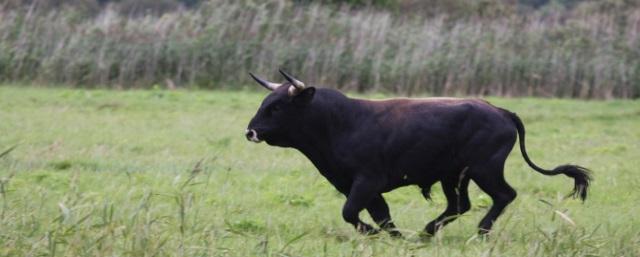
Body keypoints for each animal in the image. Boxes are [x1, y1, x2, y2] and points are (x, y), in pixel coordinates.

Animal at [245, 70, 592, 236]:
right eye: (265, 103)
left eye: (277, 107)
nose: (250, 131)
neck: (341, 123)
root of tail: (499, 110)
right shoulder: (359, 186)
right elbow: (380, 215)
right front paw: (393, 236)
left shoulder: (367, 181)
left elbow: (351, 212)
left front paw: (373, 233)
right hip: (454, 176)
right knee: (460, 205)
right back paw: (427, 232)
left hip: (484, 168)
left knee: (504, 195)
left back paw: (481, 231)